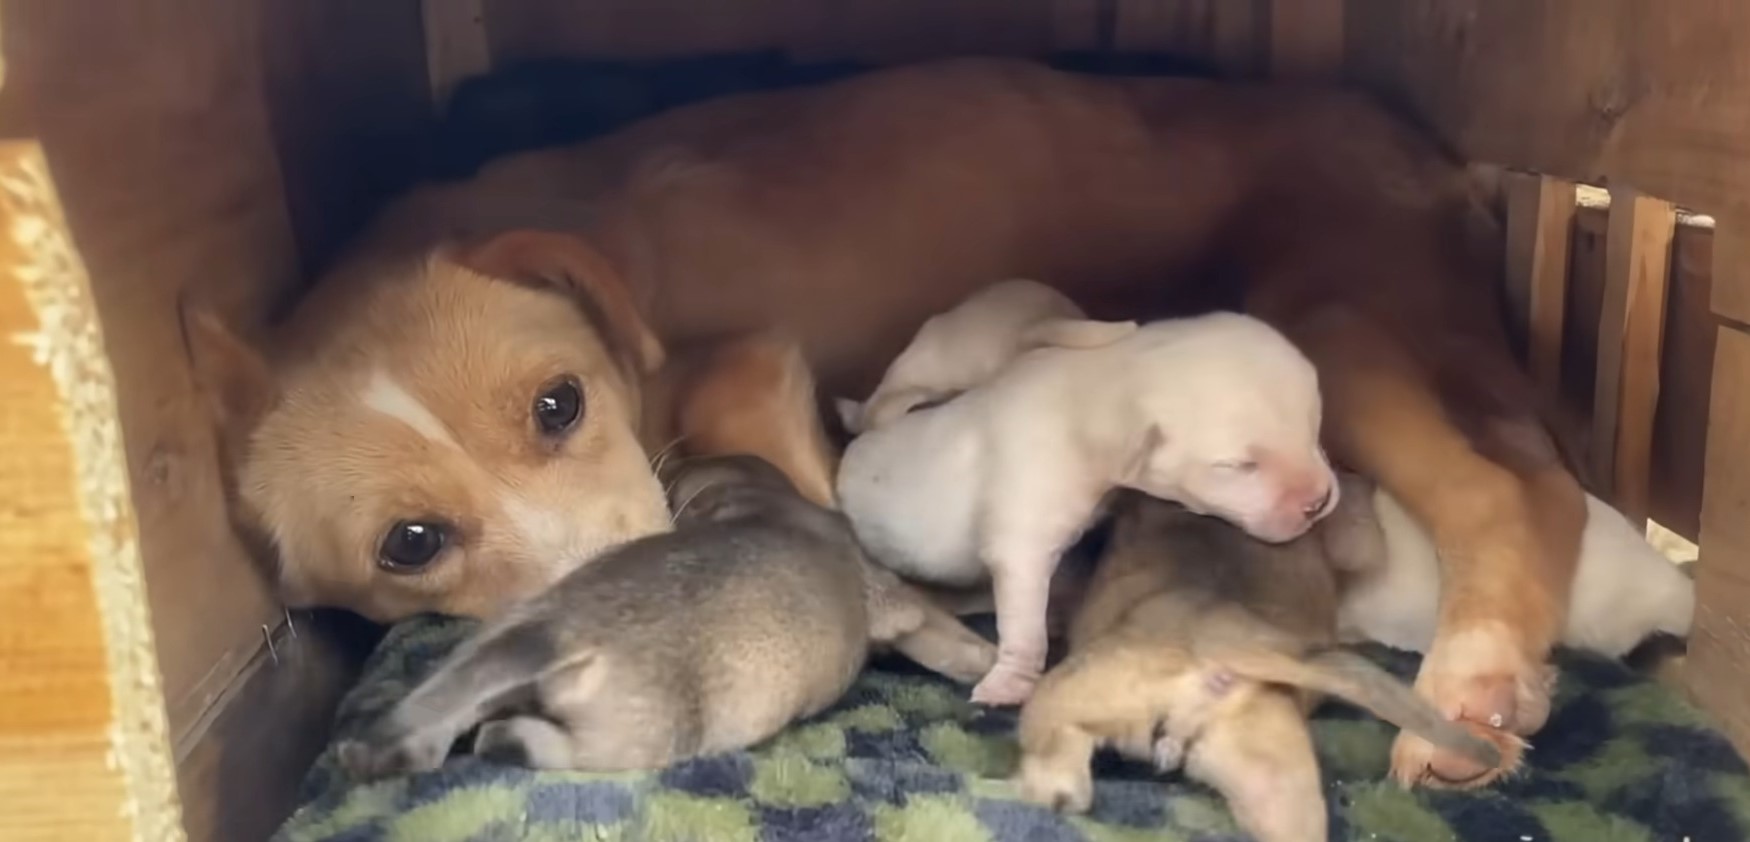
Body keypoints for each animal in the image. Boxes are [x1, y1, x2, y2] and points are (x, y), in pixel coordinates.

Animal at [337, 451, 1001, 773]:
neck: (759, 499)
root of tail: (553, 633)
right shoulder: (891, 598)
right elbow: (937, 630)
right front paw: (987, 664)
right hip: (643, 735)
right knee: (527, 742)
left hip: (480, 654)